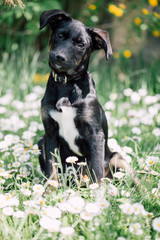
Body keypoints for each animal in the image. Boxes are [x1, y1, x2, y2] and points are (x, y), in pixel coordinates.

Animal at [37, 9, 138, 184]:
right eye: (60, 35)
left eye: (81, 44)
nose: (59, 57)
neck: (67, 84)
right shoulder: (49, 132)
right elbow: (52, 168)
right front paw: (50, 189)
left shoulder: (95, 135)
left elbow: (96, 171)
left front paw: (98, 191)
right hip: (41, 142)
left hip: (116, 158)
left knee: (138, 180)